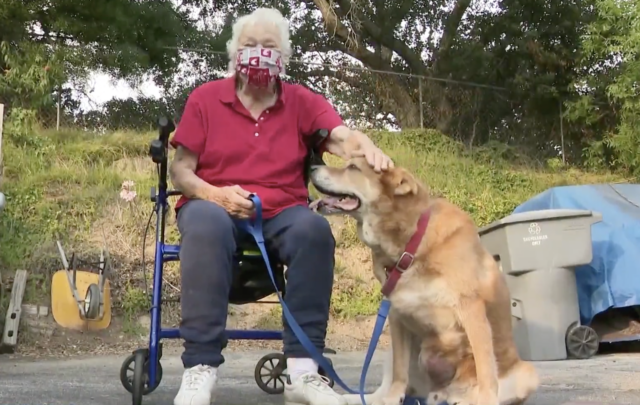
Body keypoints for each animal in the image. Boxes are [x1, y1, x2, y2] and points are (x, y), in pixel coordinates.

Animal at [310, 159, 540, 404]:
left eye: (353, 167)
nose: (311, 167)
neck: (412, 244)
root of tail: (441, 393)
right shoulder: (397, 315)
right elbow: (399, 373)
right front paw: (392, 398)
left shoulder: (472, 310)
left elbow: (486, 370)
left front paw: (485, 398)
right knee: (382, 390)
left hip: (527, 373)